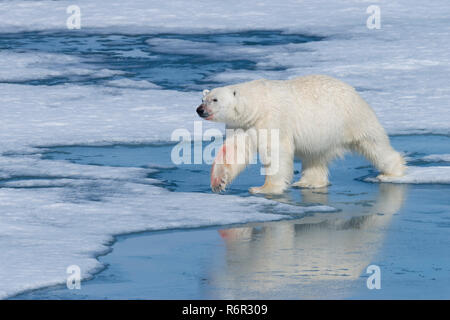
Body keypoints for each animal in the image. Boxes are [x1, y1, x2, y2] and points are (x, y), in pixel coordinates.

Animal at [196, 75, 404, 195]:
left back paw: (392, 173)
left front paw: (263, 188)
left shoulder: (274, 119)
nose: (200, 110)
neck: (257, 105)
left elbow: (276, 152)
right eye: (203, 98)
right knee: (314, 157)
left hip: (352, 118)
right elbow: (234, 150)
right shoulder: (243, 125)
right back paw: (308, 183)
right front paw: (218, 182)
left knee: (374, 144)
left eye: (214, 99)